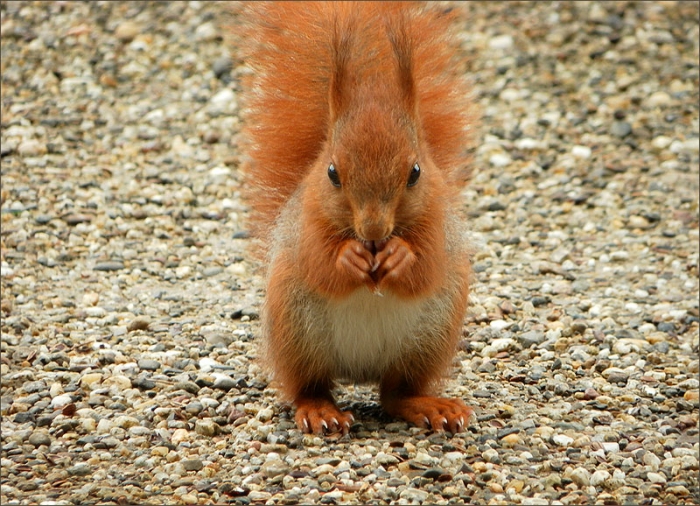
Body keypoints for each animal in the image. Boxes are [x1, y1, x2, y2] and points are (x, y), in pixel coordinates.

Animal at [238, 2, 477, 435]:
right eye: (332, 172)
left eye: (415, 172)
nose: (374, 230)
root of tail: (359, 371)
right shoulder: (305, 225)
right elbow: (318, 262)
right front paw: (347, 257)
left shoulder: (440, 222)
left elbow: (428, 265)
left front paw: (401, 256)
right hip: (295, 331)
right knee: (309, 386)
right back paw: (320, 410)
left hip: (428, 338)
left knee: (395, 394)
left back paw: (431, 407)